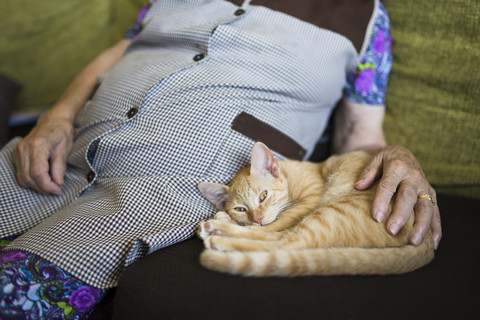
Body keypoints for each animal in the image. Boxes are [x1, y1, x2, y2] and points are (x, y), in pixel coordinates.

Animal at [197, 141, 436, 276]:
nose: (257, 218)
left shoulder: (310, 200)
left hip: (331, 212)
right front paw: (229, 218)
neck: (289, 175)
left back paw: (219, 236)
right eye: (240, 209)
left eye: (263, 196)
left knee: (285, 243)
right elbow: (267, 228)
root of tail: (426, 239)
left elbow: (270, 227)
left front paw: (233, 224)